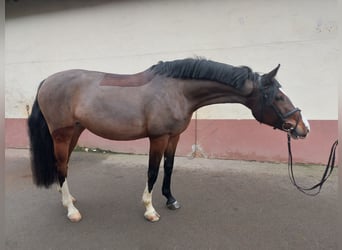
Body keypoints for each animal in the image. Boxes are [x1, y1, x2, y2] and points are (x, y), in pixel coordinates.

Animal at [27, 58, 310, 223]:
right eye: (278, 97)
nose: (303, 128)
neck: (177, 90)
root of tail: (47, 81)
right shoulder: (158, 137)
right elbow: (152, 172)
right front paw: (150, 209)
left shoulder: (174, 136)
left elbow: (169, 168)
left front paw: (171, 200)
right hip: (62, 134)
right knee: (61, 166)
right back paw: (71, 210)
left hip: (75, 132)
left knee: (63, 165)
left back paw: (68, 198)